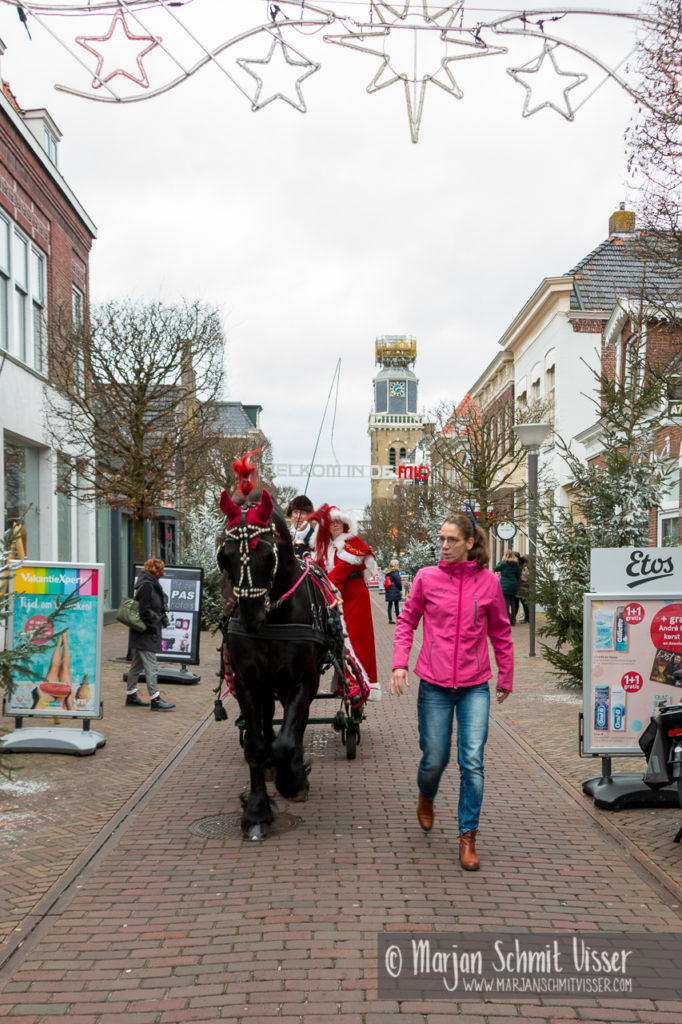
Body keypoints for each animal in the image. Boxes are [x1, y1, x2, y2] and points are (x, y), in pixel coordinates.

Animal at [216, 487, 337, 839]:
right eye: (225, 556)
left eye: (270, 556)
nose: (250, 619)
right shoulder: (246, 682)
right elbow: (255, 745)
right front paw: (257, 812)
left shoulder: (303, 682)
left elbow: (287, 739)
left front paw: (292, 781)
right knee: (268, 720)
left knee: (297, 726)